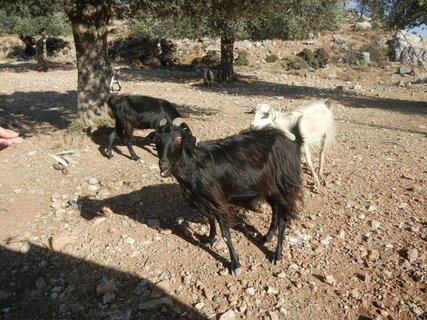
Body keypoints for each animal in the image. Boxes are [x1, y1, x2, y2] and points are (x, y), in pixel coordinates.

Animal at [156, 122, 304, 276]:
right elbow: (211, 219)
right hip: (269, 190)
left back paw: (277, 255)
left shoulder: (218, 201)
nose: (163, 164)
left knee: (283, 221)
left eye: (179, 139)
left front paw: (235, 264)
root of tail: (293, 143)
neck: (193, 164)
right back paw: (266, 238)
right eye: (157, 138)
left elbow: (226, 234)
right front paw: (210, 239)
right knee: (275, 211)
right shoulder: (206, 200)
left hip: (283, 188)